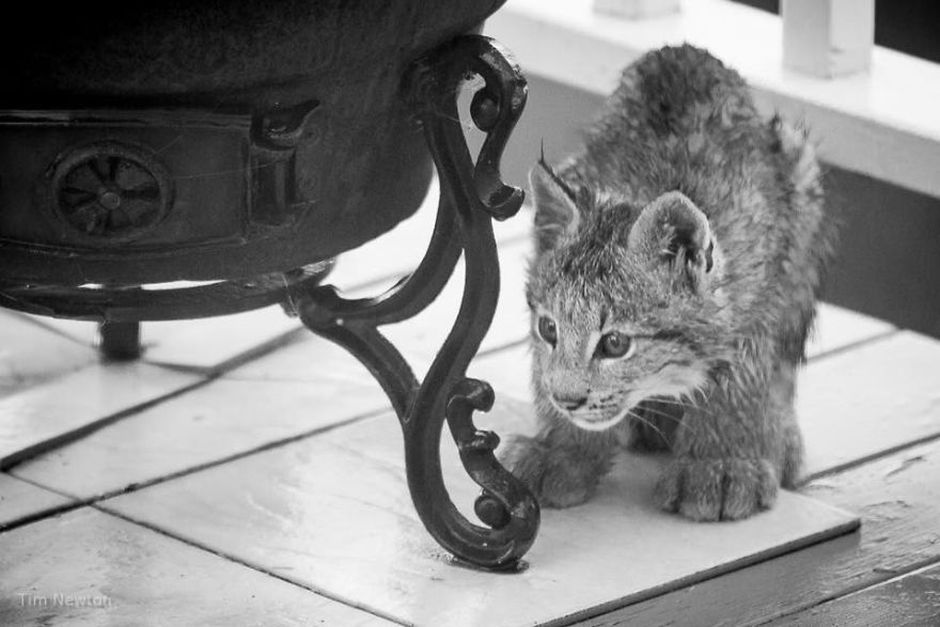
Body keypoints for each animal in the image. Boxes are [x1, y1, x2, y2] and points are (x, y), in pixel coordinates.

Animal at [504, 45, 832, 524]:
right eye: (549, 330)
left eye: (615, 344)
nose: (567, 403)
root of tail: (684, 50)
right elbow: (542, 370)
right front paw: (562, 450)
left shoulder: (758, 292)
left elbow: (742, 371)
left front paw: (719, 464)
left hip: (800, 176)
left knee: (785, 358)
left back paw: (778, 435)